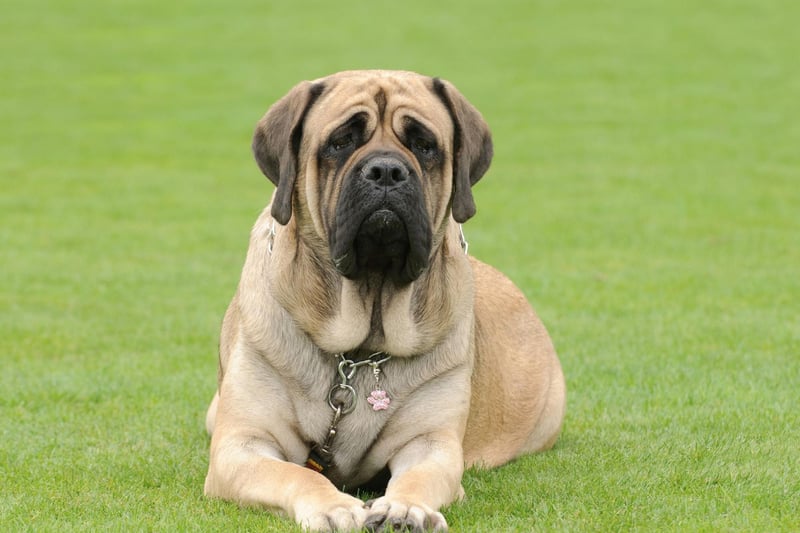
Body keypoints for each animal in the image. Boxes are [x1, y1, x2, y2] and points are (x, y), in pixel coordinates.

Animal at [203, 70, 564, 532]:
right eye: (341, 141)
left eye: (424, 145)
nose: (387, 170)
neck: (361, 349)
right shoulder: (240, 446)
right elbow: (298, 474)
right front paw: (332, 506)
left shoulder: (431, 443)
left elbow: (419, 476)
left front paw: (405, 508)